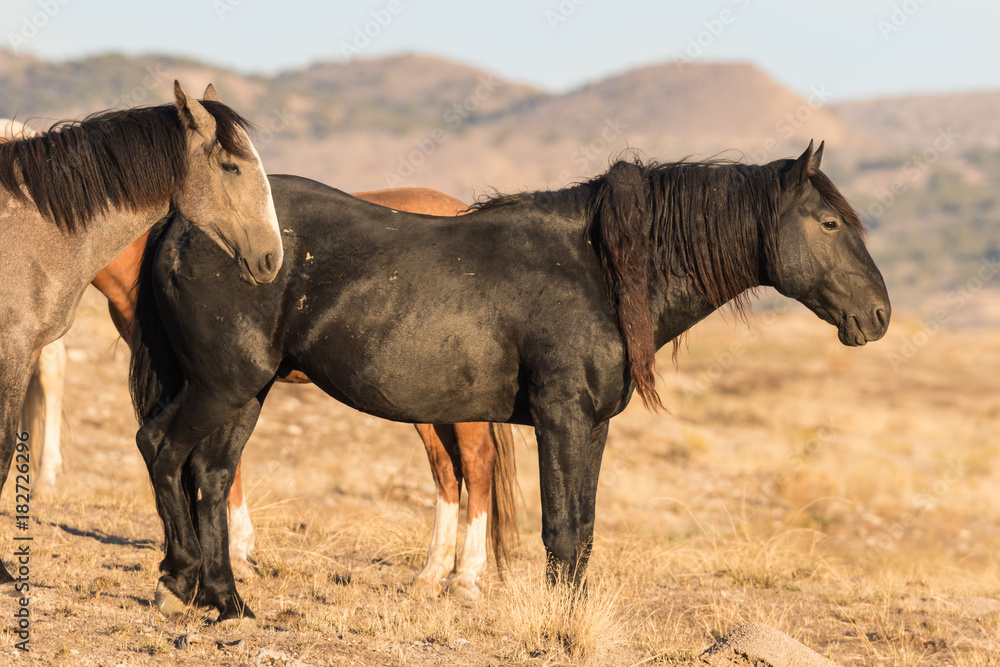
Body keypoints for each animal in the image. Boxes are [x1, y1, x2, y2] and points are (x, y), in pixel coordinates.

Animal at [129, 142, 891, 622]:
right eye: (829, 222)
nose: (879, 315)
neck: (594, 270)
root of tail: (182, 223)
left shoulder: (591, 425)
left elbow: (582, 530)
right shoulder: (563, 418)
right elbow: (562, 530)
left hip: (243, 392)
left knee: (211, 472)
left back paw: (224, 600)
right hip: (224, 386)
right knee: (163, 450)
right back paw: (182, 585)